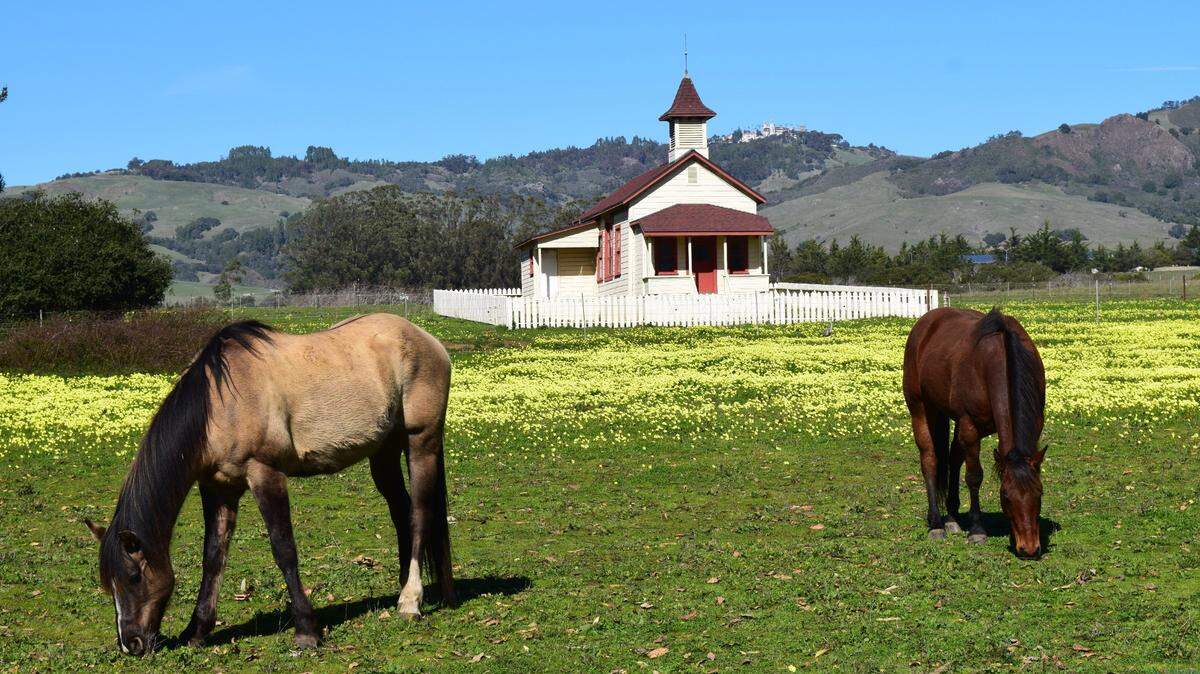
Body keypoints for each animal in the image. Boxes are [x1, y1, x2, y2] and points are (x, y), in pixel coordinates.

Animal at [83, 313, 456, 655]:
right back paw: (414, 590)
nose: (130, 644)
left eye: (134, 577)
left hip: (422, 442)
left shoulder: (265, 474)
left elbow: (283, 549)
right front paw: (197, 631)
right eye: (108, 584)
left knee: (420, 515)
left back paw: (411, 601)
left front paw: (306, 631)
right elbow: (213, 556)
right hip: (384, 452)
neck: (219, 404)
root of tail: (429, 341)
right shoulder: (218, 487)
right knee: (402, 513)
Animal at [902, 307, 1047, 558]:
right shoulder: (970, 427)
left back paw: (951, 518)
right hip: (920, 408)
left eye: (1039, 493)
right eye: (1005, 495)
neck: (998, 359)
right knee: (930, 459)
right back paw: (936, 524)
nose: (1028, 548)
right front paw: (977, 530)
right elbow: (974, 476)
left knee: (952, 458)